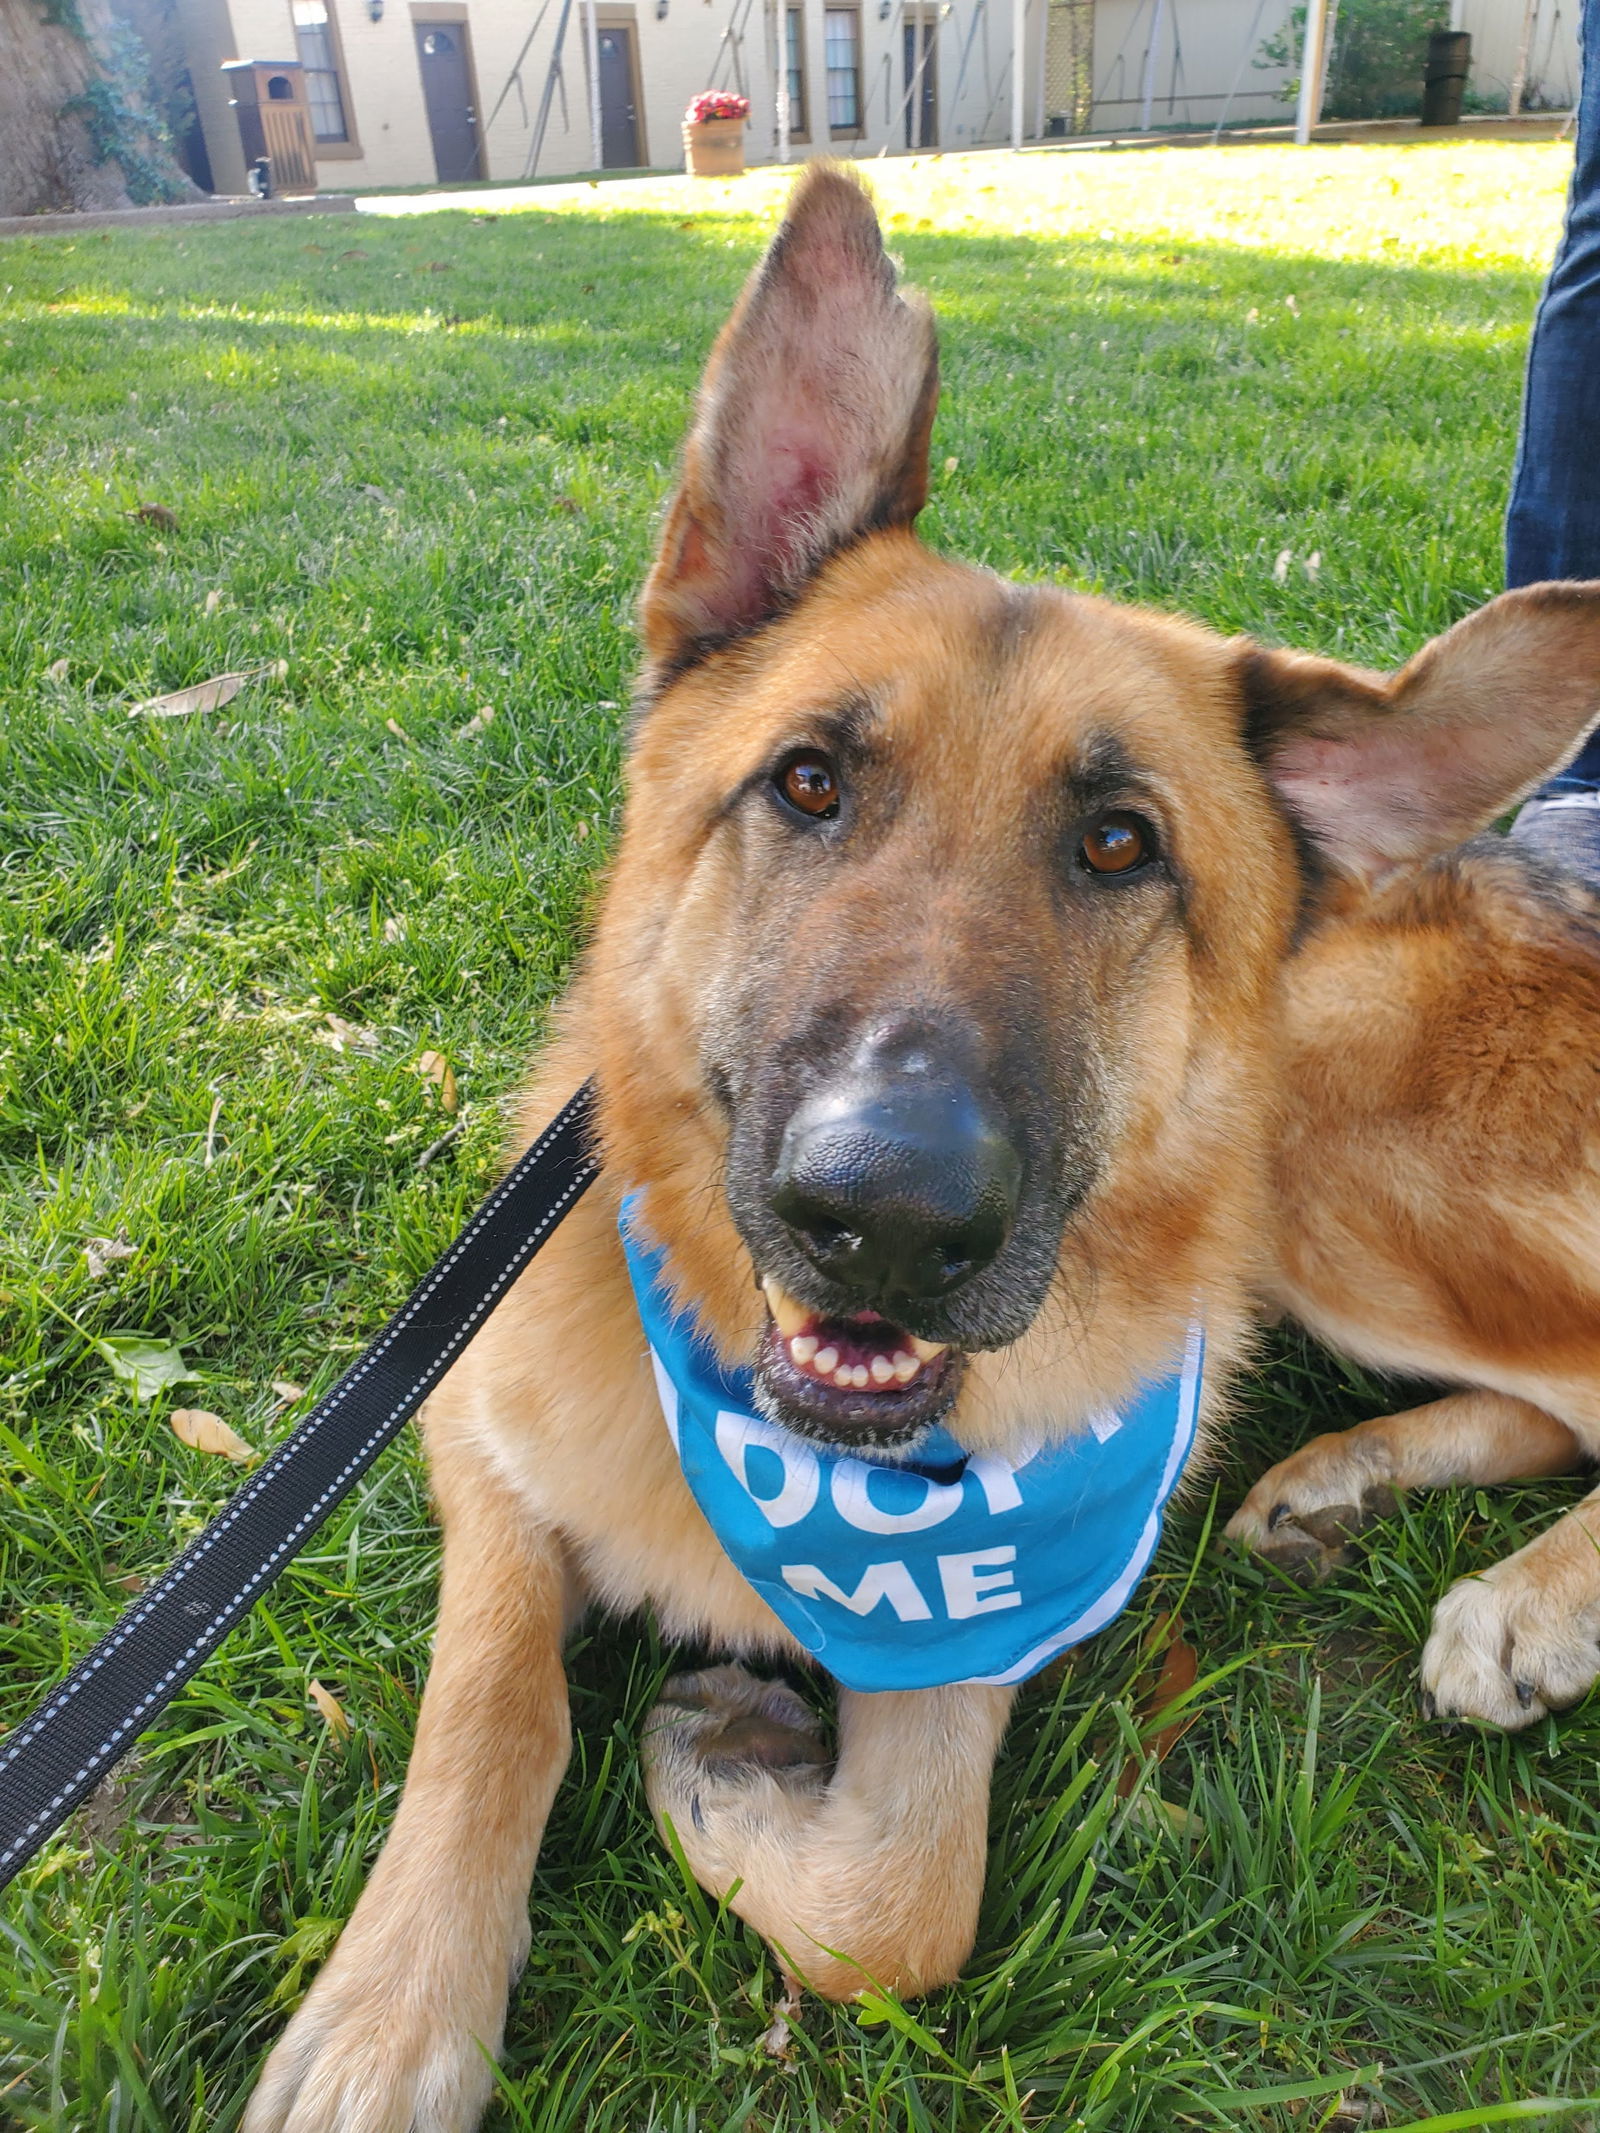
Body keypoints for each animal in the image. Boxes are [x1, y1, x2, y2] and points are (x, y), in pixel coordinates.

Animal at [244, 170, 1600, 2133]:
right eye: (808, 783)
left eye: (1119, 844)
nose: (880, 1218)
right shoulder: (475, 1434)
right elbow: (492, 1703)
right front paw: (389, 2013)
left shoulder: (973, 1645)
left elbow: (894, 1906)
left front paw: (725, 1774)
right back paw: (1346, 1482)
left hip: (1340, 1184)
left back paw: (1520, 1595)